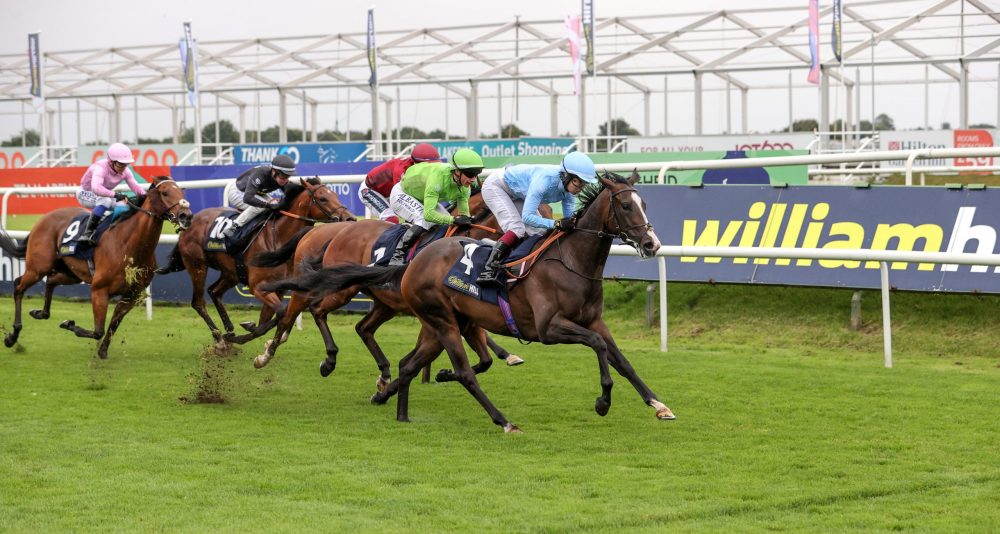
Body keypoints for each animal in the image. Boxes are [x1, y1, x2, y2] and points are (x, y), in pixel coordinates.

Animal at [0, 179, 192, 360]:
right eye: (165, 193)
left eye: (181, 192)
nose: (187, 216)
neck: (129, 245)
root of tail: (43, 219)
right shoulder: (99, 290)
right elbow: (98, 330)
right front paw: (69, 324)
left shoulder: (132, 294)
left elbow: (113, 324)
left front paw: (102, 350)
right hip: (39, 267)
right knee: (18, 286)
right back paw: (12, 336)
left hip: (72, 273)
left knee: (51, 281)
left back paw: (40, 313)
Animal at [156, 179, 356, 348]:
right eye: (323, 198)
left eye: (336, 195)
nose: (350, 218)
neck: (278, 238)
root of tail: (190, 221)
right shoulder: (259, 287)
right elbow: (280, 312)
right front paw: (247, 330)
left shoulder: (278, 289)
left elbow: (270, 319)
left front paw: (246, 331)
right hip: (197, 266)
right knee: (198, 302)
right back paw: (219, 337)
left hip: (231, 272)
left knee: (214, 292)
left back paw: (229, 329)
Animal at [254, 193, 544, 390]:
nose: (543, 236)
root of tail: (338, 231)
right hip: (343, 289)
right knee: (309, 310)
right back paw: (281, 355)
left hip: (385, 301)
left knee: (362, 328)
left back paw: (383, 374)